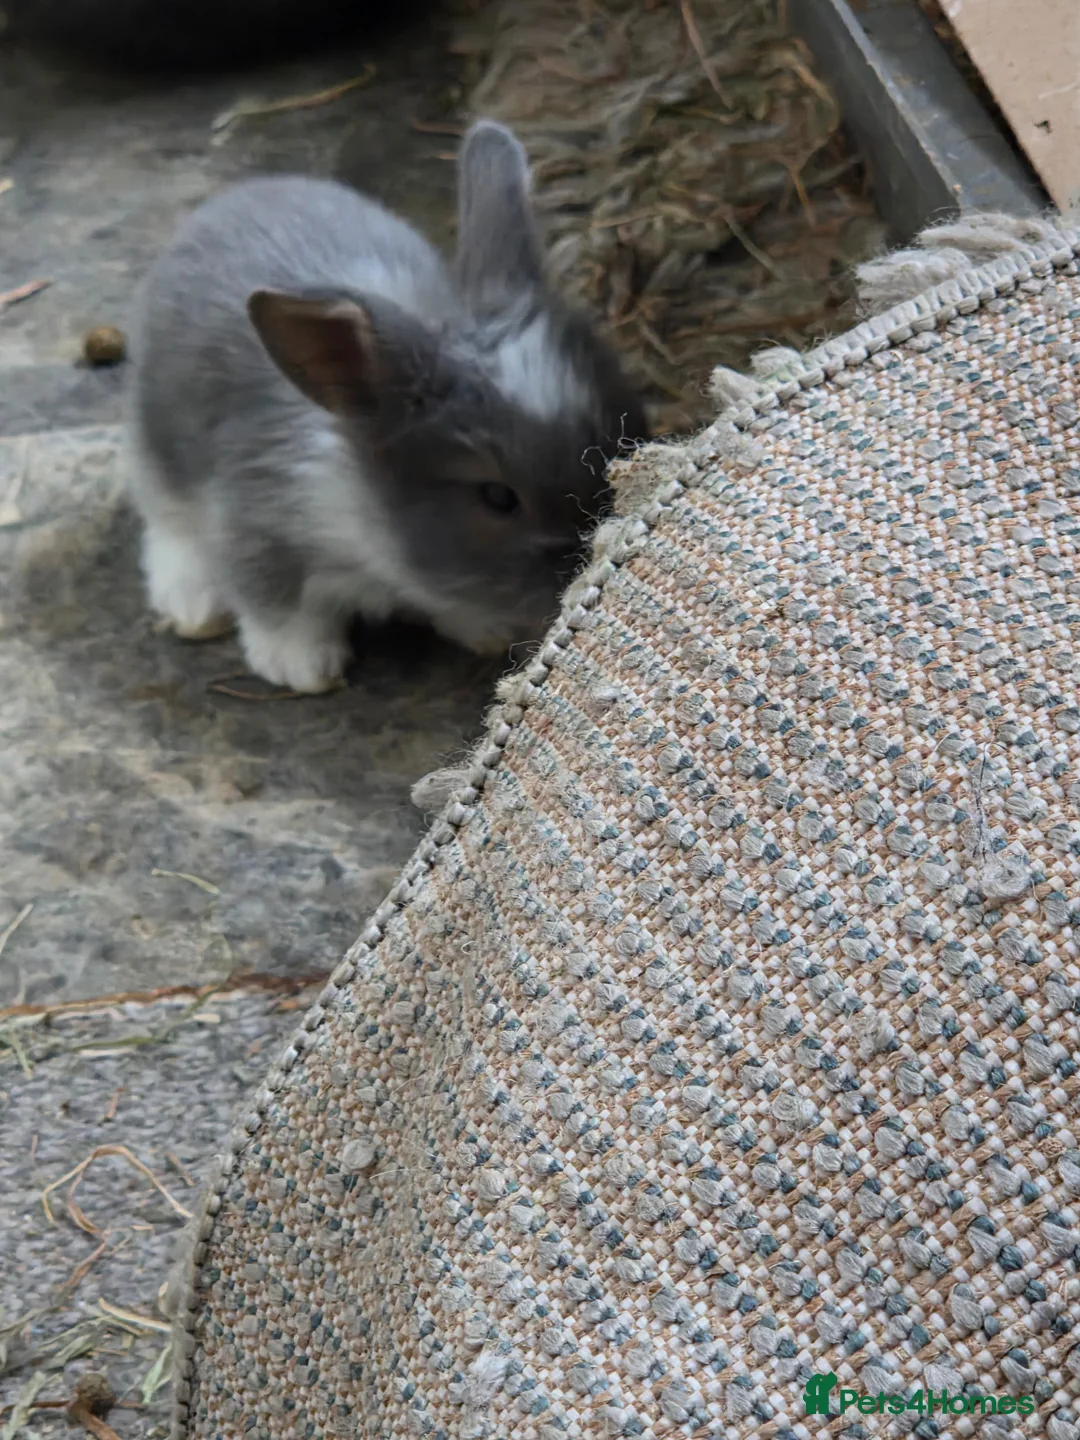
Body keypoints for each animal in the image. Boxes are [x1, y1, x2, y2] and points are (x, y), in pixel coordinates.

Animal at [126, 119, 648, 694]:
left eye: (626, 425)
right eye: (497, 497)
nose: (587, 561)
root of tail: (232, 198)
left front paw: (484, 631)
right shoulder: (254, 524)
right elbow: (275, 605)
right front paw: (301, 667)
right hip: (156, 443)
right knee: (165, 520)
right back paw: (192, 604)